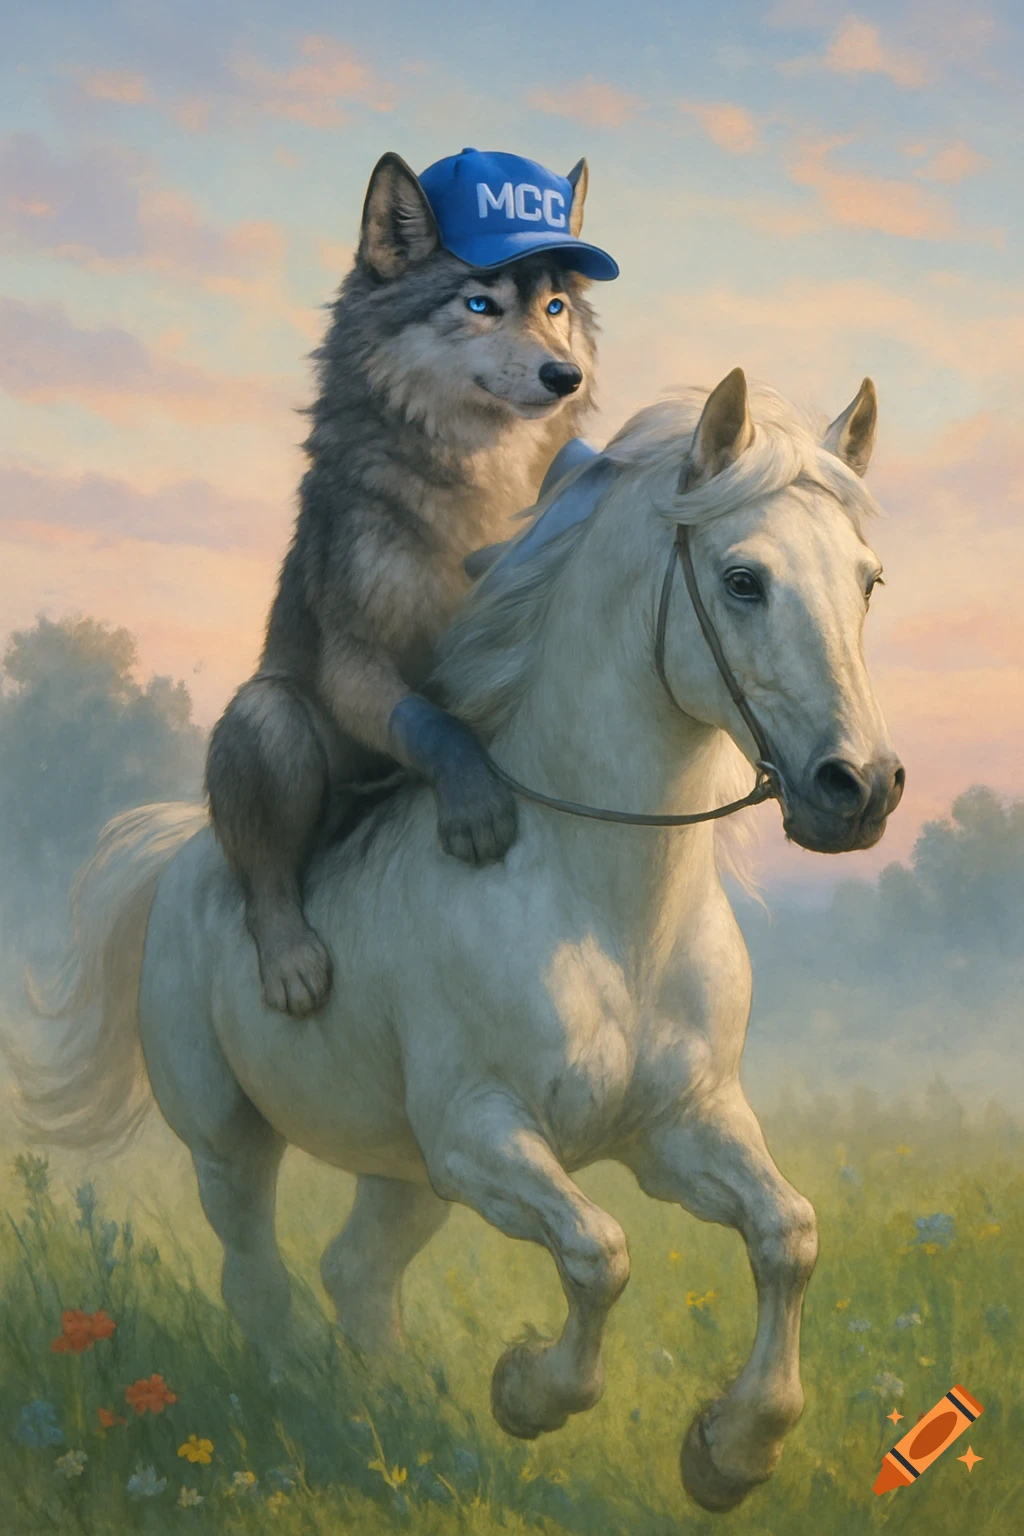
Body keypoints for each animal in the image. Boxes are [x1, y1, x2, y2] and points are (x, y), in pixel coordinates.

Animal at [15, 368, 904, 1513]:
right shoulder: (481, 1137)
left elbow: (787, 1234)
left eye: (867, 581)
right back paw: (312, 1399)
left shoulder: (682, 1127)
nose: (861, 790)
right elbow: (601, 1251)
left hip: (400, 1171)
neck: (603, 905)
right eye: (743, 579)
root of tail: (176, 855)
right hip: (232, 1142)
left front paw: (732, 1450)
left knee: (355, 1271)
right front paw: (529, 1391)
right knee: (257, 1276)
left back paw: (389, 1413)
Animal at [206, 148, 617, 1018]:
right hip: (269, 717)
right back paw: (291, 963)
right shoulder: (354, 658)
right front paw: (476, 810)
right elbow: (432, 721)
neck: (477, 475)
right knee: (264, 880)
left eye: (556, 306)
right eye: (480, 304)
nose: (563, 375)